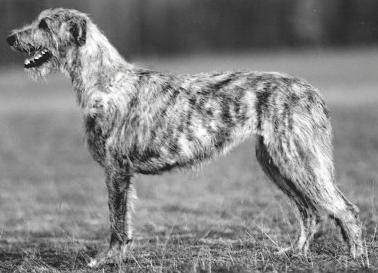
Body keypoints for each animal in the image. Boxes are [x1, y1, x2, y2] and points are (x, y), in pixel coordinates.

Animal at [6, 7, 364, 266]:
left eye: (44, 24)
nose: (10, 37)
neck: (105, 80)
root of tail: (313, 92)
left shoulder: (116, 169)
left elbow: (117, 223)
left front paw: (108, 259)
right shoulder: (122, 172)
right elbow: (123, 220)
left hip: (297, 159)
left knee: (344, 209)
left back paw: (356, 258)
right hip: (276, 162)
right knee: (310, 212)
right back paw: (296, 253)